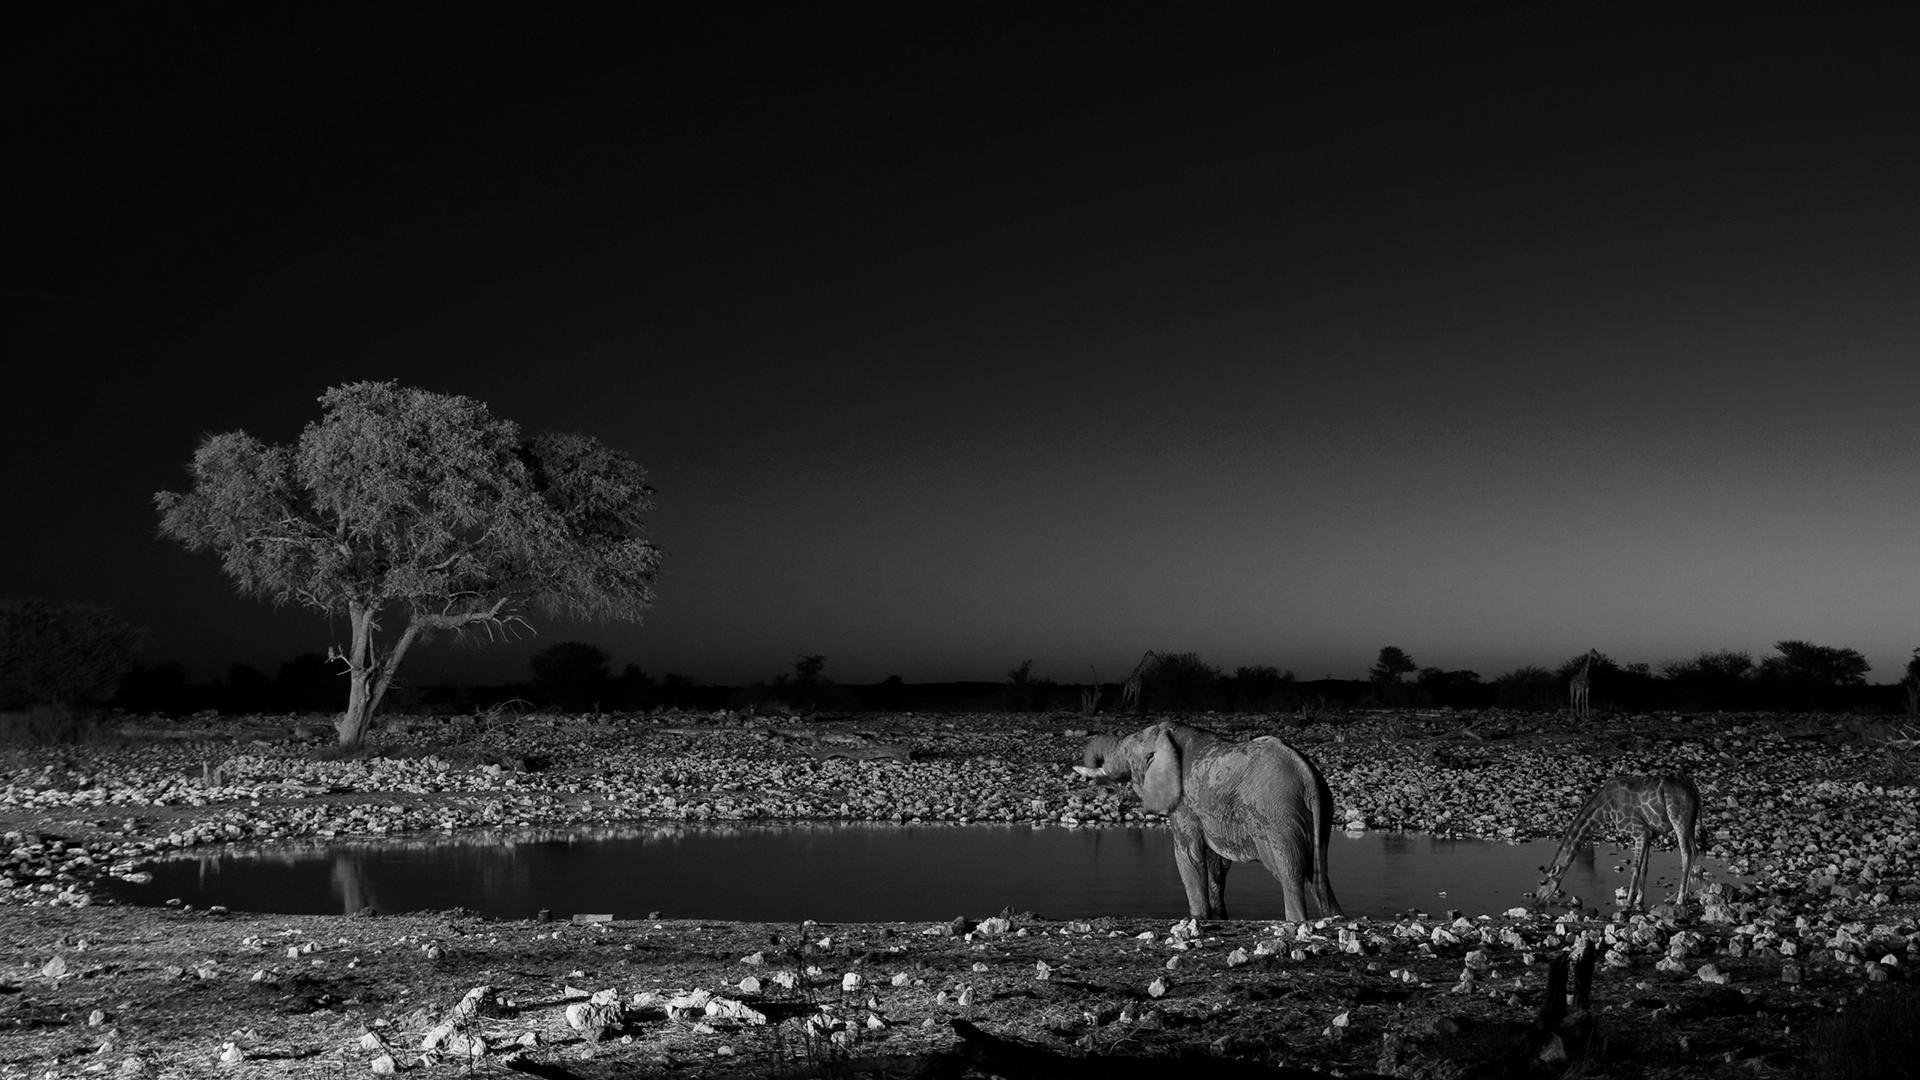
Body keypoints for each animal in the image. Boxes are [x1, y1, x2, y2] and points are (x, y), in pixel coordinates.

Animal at [1074, 721, 1341, 922]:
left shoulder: (1184, 803)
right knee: (1319, 875)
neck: (1167, 733)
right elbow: (1216, 862)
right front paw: (1218, 917)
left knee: (1290, 873)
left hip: (1277, 816)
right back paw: (1334, 917)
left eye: (1127, 752)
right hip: (1321, 812)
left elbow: (1188, 855)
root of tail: (1308, 776)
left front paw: (1198, 918)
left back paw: (1297, 920)